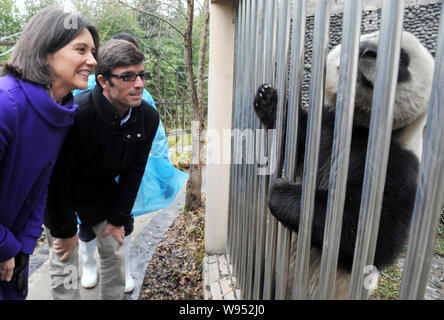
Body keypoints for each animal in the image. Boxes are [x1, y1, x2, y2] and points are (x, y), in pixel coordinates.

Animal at [253, 31, 434, 298]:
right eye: (362, 38)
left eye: (402, 59)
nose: (366, 50)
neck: (359, 127)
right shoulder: (325, 128)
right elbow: (296, 139)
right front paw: (269, 100)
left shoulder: (400, 166)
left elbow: (373, 235)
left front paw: (284, 194)